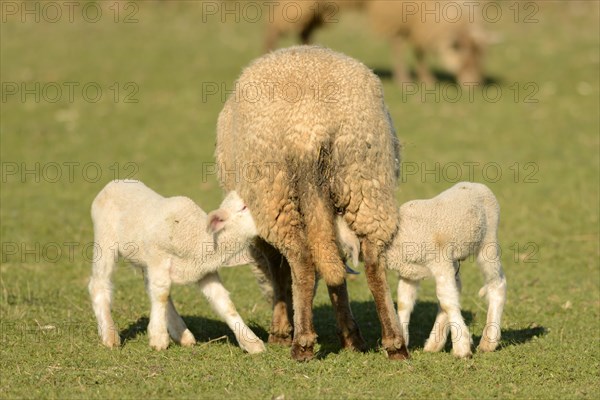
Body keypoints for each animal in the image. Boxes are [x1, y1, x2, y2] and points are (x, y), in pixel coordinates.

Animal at [88, 180, 264, 354]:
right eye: (244, 207)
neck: (196, 235)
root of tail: (115, 182)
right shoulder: (159, 257)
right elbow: (161, 294)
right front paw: (158, 338)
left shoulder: (205, 272)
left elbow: (225, 303)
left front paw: (251, 342)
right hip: (105, 240)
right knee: (98, 284)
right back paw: (109, 335)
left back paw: (181, 333)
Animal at [213, 45, 406, 360]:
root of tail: (309, 129)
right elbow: (335, 267)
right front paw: (350, 336)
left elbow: (279, 270)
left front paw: (280, 330)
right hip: (365, 180)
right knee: (372, 260)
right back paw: (395, 343)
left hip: (274, 194)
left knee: (302, 259)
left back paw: (301, 343)